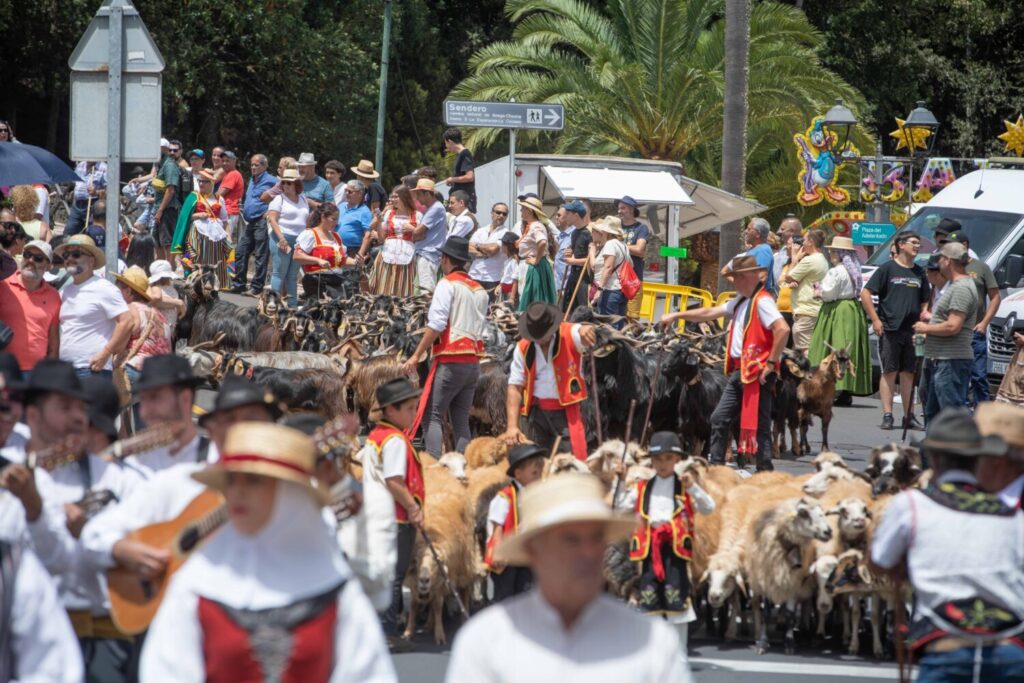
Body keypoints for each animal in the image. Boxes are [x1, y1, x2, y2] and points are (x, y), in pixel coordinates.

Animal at [741, 499, 835, 655]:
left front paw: (789, 643)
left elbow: (790, 615)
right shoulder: (767, 582)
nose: (828, 531)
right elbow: (766, 613)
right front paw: (762, 643)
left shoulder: (793, 584)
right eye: (804, 513)